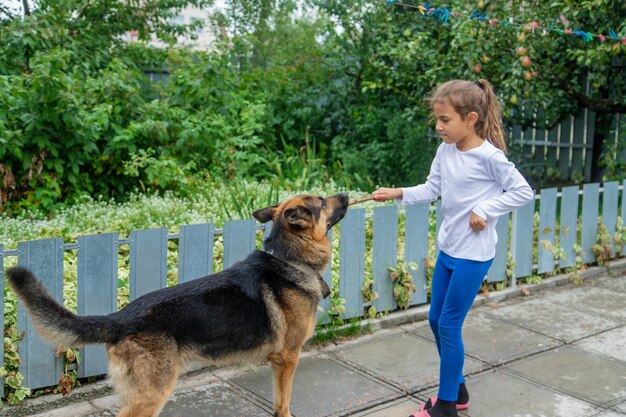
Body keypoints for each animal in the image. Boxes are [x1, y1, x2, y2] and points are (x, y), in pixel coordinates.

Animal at [7, 193, 348, 416]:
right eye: (321, 200)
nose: (345, 193)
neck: (289, 260)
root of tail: (122, 317)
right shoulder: (287, 358)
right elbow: (284, 402)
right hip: (152, 393)